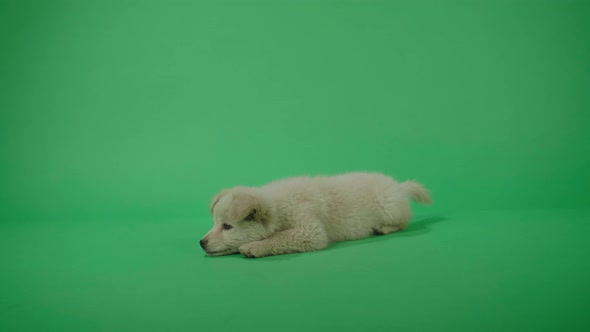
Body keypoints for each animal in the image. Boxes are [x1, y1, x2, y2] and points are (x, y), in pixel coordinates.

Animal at [199, 172, 430, 258]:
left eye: (227, 227)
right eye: (215, 223)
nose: (201, 242)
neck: (278, 206)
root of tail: (399, 187)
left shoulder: (310, 230)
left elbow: (280, 237)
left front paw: (255, 246)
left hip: (389, 208)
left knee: (403, 222)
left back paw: (383, 228)